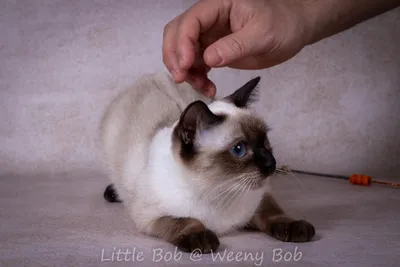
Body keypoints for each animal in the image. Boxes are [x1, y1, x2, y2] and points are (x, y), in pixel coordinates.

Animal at [97, 73, 316, 253]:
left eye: (265, 142)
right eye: (239, 149)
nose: (272, 164)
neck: (219, 188)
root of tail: (150, 76)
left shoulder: (261, 197)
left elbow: (275, 214)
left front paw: (296, 228)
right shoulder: (150, 217)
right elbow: (186, 221)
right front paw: (202, 239)